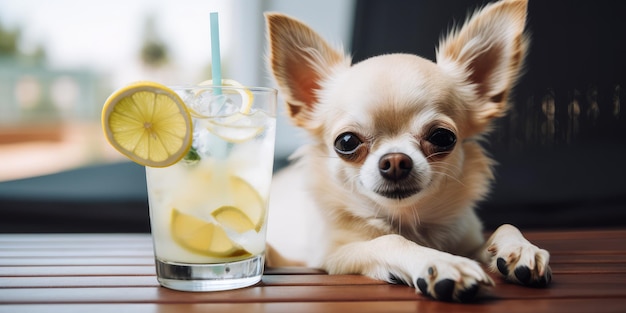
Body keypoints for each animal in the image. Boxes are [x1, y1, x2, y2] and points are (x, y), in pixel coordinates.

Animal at [266, 0, 548, 302]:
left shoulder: (469, 240)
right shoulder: (334, 255)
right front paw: (441, 262)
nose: (395, 161)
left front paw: (521, 249)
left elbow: (505, 227)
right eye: (346, 142)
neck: (408, 220)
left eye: (442, 137)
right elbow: (390, 239)